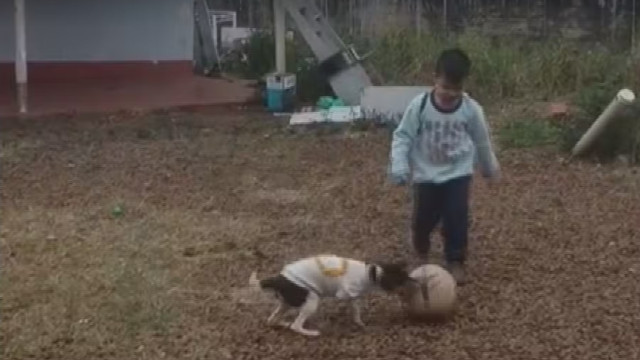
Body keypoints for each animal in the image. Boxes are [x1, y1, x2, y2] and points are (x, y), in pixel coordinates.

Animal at [248, 255, 412, 336]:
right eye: (402, 281)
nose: (413, 282)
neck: (371, 273)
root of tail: (278, 279)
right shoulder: (345, 293)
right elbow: (354, 308)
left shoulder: (353, 297)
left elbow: (356, 311)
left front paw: (359, 323)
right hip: (312, 299)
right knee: (296, 325)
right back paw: (311, 333)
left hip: (286, 302)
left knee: (272, 320)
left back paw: (283, 323)